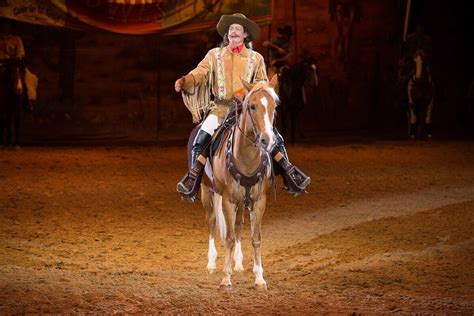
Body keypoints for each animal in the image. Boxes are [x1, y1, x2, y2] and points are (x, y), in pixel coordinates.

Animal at [199, 77, 278, 292]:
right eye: (252, 106)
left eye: (274, 106)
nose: (267, 140)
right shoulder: (228, 201)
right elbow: (228, 238)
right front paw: (226, 278)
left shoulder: (259, 201)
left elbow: (255, 237)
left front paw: (259, 278)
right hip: (207, 193)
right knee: (211, 222)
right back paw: (211, 263)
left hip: (243, 202)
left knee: (238, 225)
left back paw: (239, 262)